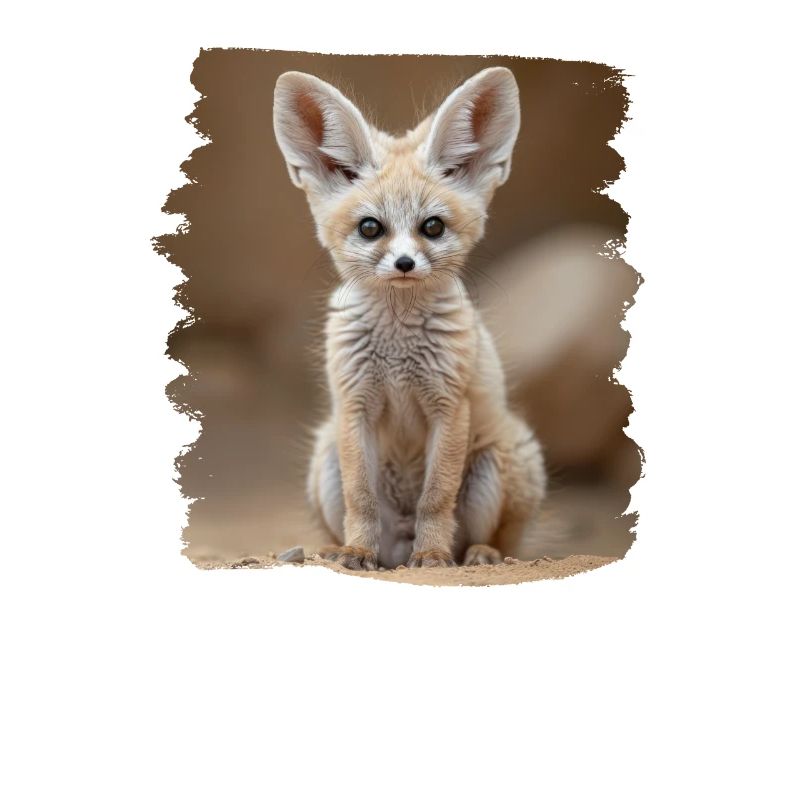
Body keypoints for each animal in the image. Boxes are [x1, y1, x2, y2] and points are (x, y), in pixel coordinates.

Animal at [273, 66, 546, 570]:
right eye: (370, 228)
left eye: (432, 227)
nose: (404, 264)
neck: (398, 348)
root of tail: (397, 546)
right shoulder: (355, 404)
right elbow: (360, 498)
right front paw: (357, 549)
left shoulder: (449, 405)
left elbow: (435, 497)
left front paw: (433, 554)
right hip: (324, 457)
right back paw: (341, 549)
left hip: (498, 462)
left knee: (499, 541)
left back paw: (476, 553)